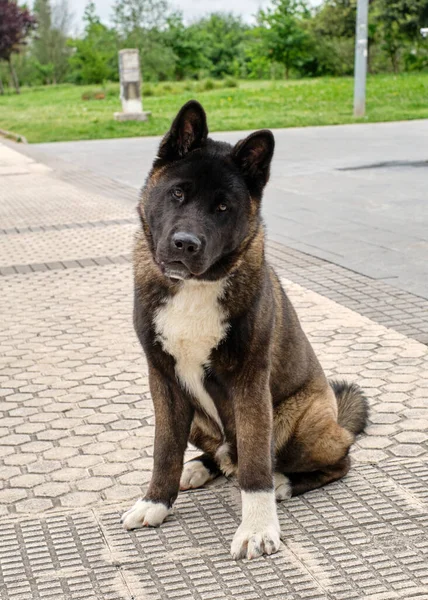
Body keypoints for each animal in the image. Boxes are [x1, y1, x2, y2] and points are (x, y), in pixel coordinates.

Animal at [121, 101, 368, 560]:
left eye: (223, 207)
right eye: (177, 193)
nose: (185, 243)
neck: (195, 288)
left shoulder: (250, 384)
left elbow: (255, 465)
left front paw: (256, 528)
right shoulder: (163, 382)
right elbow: (164, 451)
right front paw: (155, 503)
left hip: (299, 421)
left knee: (335, 459)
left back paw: (284, 483)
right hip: (198, 421)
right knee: (219, 453)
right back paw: (201, 467)